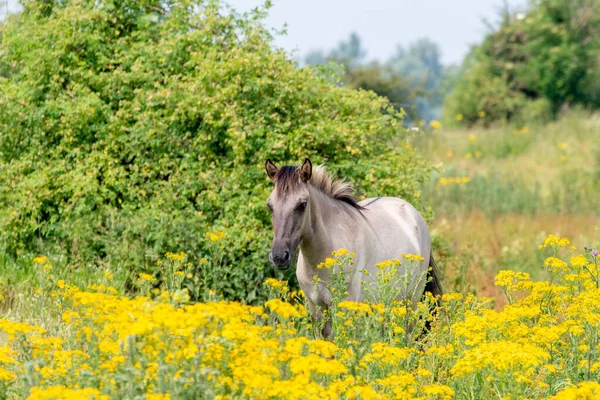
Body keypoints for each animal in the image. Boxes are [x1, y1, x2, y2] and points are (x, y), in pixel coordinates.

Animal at [264, 158, 442, 336]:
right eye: (270, 206)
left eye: (302, 205)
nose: (279, 256)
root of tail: (414, 215)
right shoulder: (316, 309)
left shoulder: (343, 307)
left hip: (411, 301)